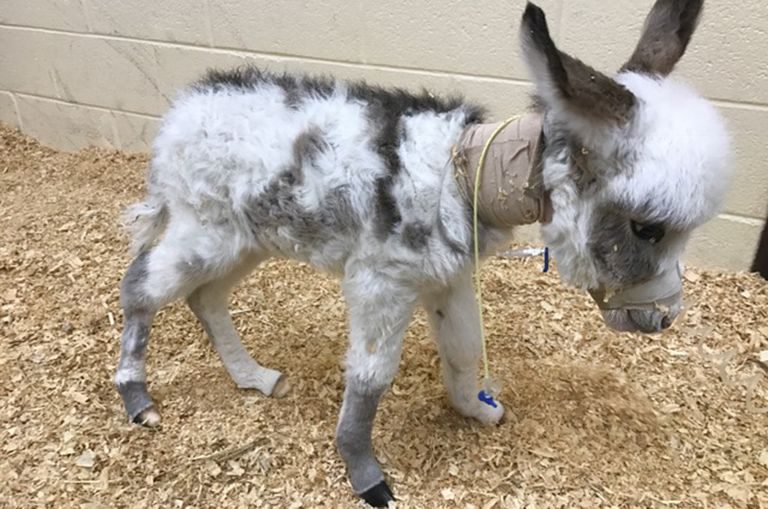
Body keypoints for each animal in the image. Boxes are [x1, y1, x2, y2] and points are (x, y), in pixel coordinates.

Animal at [114, 0, 732, 504]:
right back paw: (138, 400)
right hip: (205, 230)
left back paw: (254, 378)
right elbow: (370, 377)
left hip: (248, 239)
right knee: (140, 286)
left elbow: (462, 350)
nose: (662, 318)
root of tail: (180, 114)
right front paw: (366, 475)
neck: (461, 175)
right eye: (647, 228)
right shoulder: (380, 284)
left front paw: (475, 409)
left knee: (204, 298)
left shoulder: (448, 278)